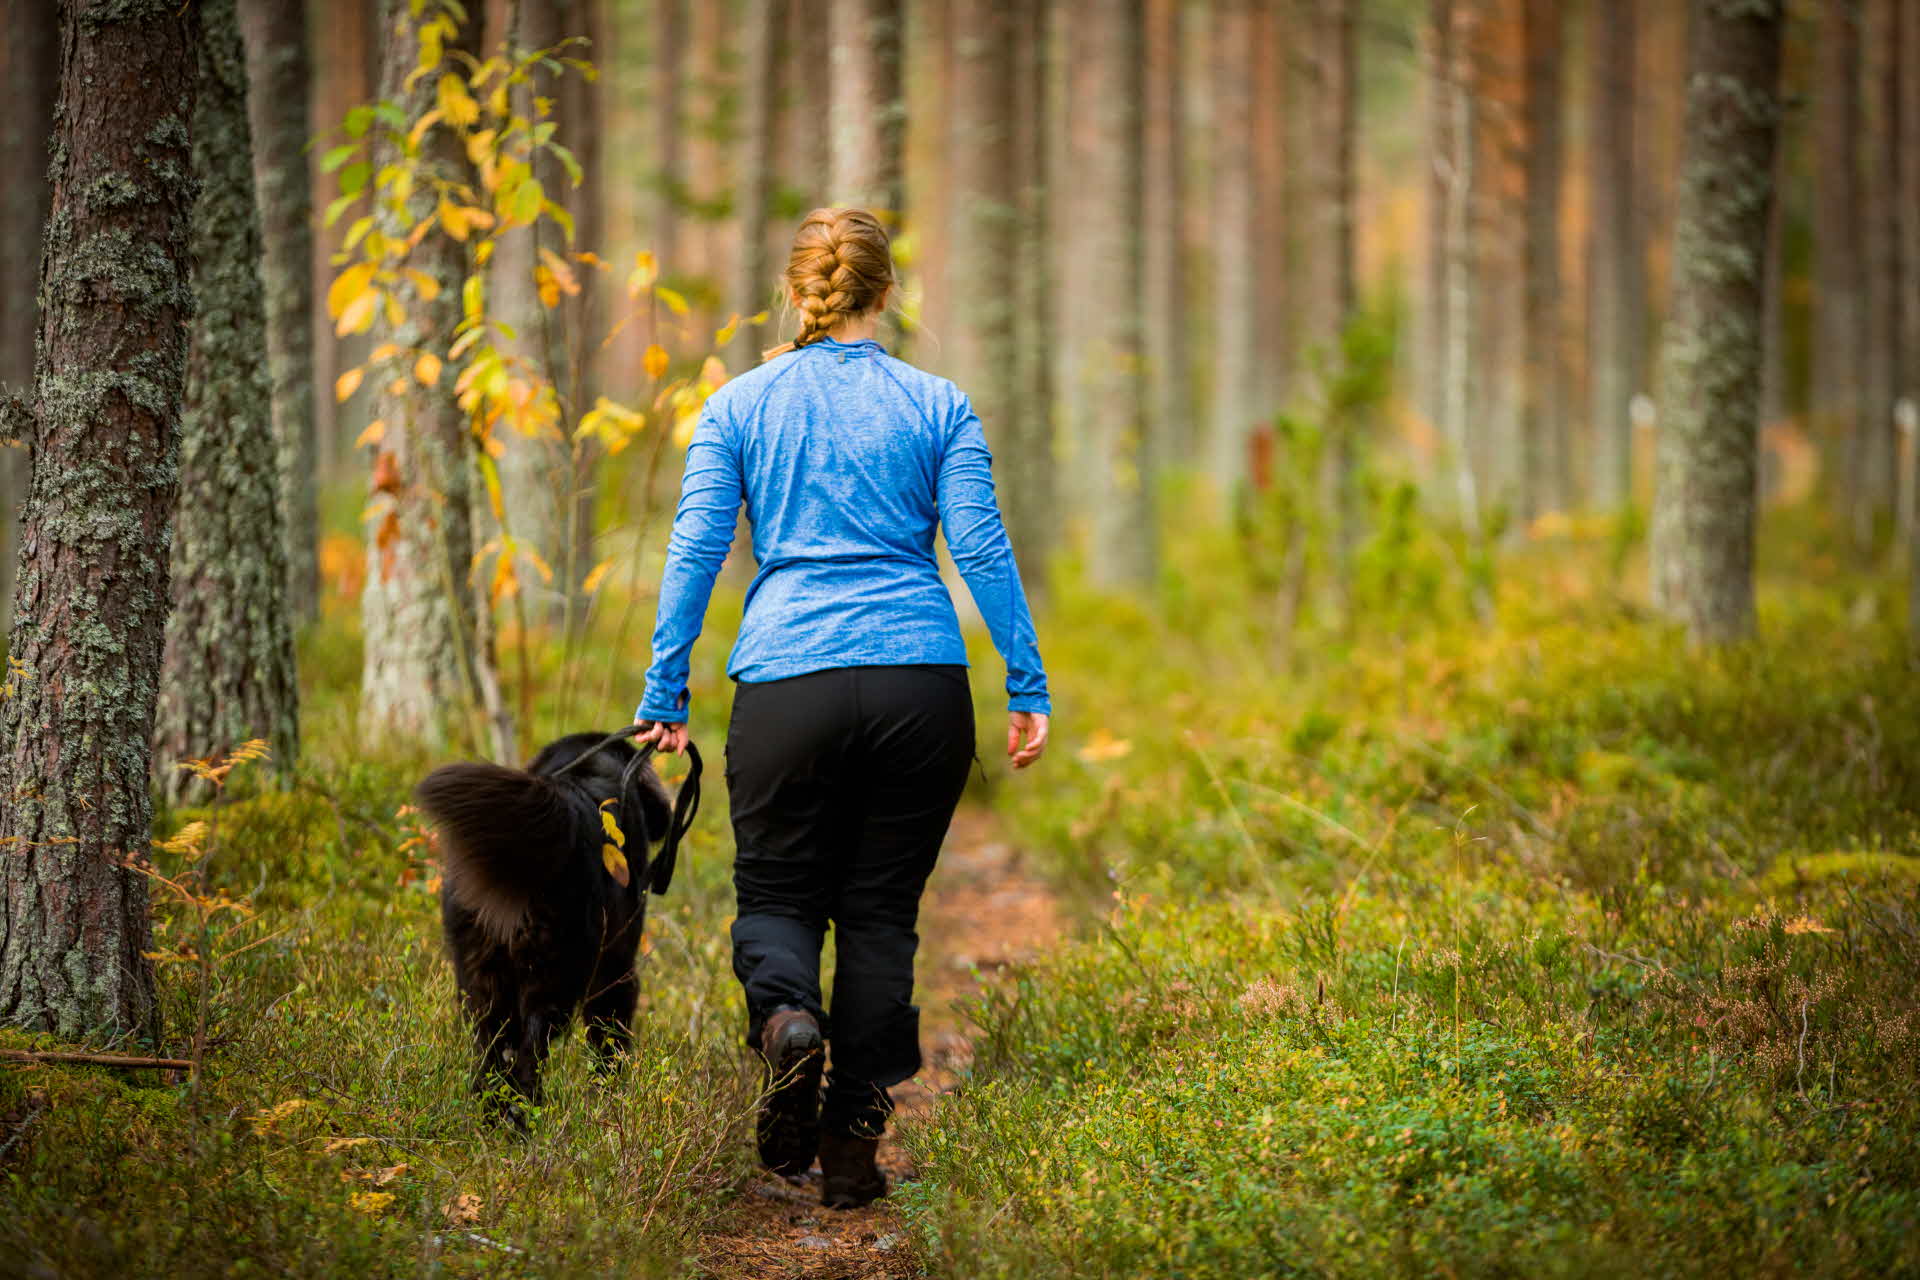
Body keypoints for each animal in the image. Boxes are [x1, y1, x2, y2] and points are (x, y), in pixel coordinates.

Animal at [412, 729, 675, 1120]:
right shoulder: (616, 970)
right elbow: (609, 1043)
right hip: (554, 978)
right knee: (528, 1059)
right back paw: (529, 1117)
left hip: (480, 978)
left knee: (489, 1059)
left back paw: (494, 1119)